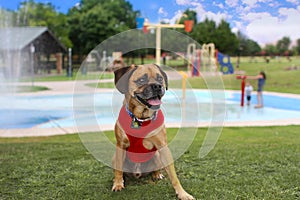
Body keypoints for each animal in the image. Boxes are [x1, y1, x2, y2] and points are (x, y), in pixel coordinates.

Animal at [112, 64, 195, 200]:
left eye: (160, 78)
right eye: (141, 80)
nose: (157, 86)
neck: (141, 118)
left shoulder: (163, 147)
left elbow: (173, 176)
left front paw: (182, 193)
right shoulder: (121, 145)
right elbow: (118, 170)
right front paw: (118, 184)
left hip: (157, 155)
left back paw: (157, 174)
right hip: (115, 156)